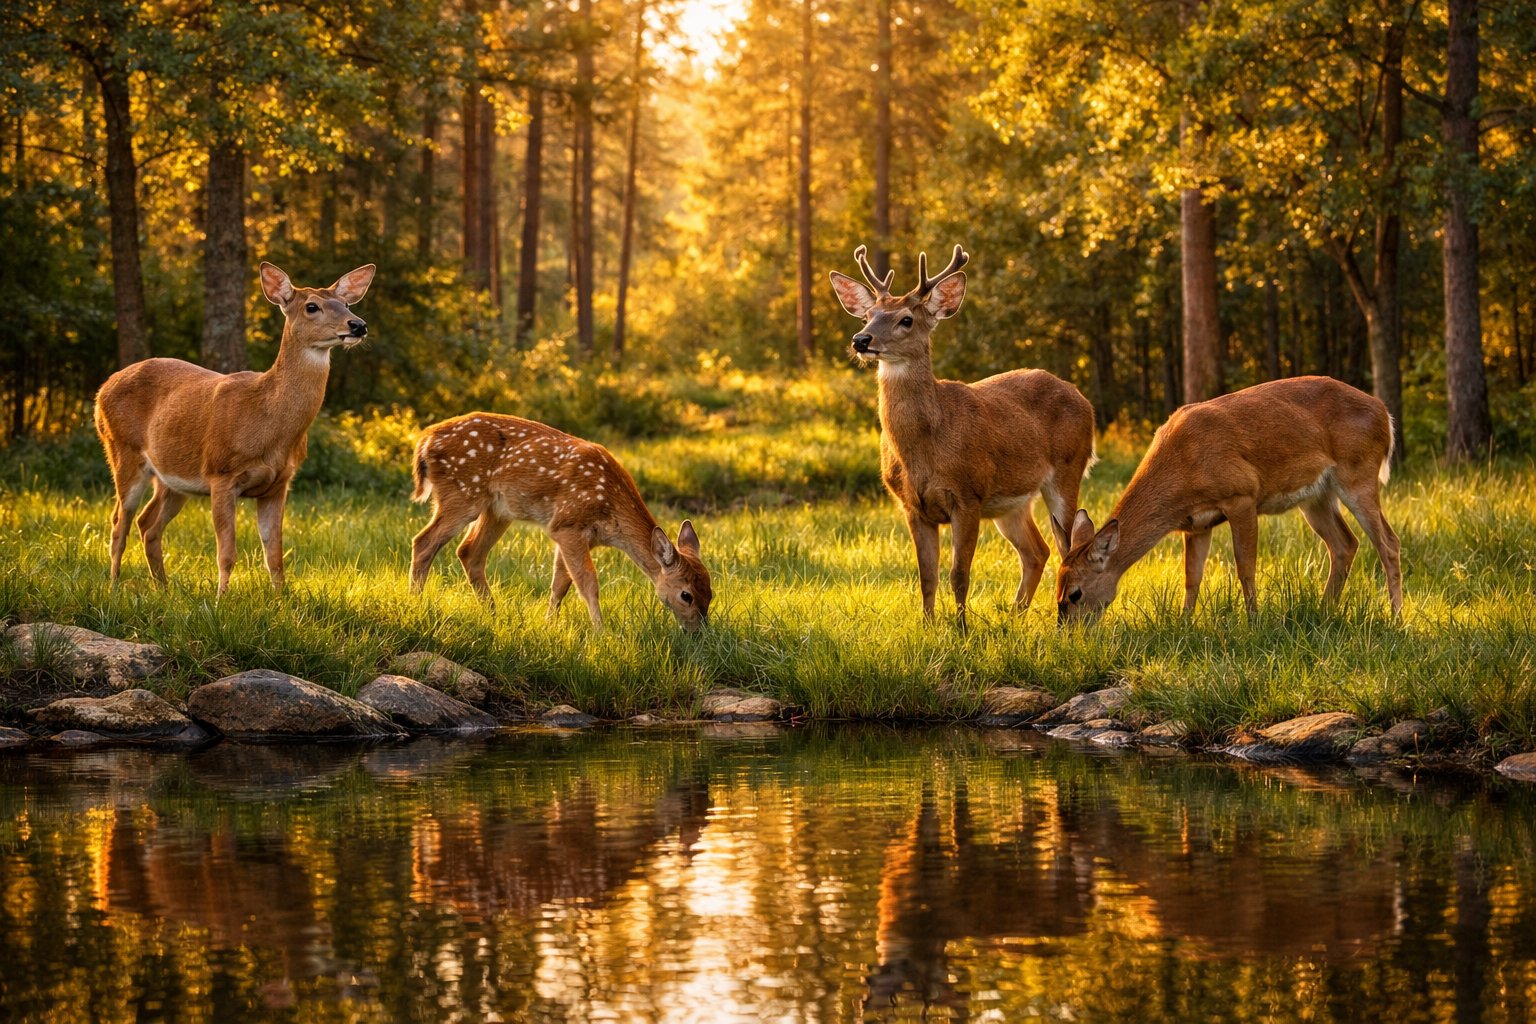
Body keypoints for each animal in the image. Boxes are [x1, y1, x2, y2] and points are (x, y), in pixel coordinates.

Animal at [94, 262, 376, 595]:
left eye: (346, 304)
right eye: (312, 306)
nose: (358, 325)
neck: (268, 421)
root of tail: (102, 389)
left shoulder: (279, 483)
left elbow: (275, 555)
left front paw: (280, 599)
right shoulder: (221, 474)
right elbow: (227, 552)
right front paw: (221, 598)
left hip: (173, 478)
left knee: (148, 523)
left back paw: (163, 588)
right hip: (121, 449)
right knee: (118, 522)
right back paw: (113, 586)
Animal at [409, 414, 712, 630]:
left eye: (710, 592)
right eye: (686, 595)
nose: (699, 633)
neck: (611, 510)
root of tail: (424, 441)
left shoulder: (577, 535)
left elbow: (560, 584)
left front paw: (549, 625)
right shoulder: (568, 524)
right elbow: (587, 583)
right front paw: (601, 634)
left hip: (497, 510)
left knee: (469, 552)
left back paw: (493, 614)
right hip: (462, 493)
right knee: (424, 541)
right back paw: (417, 604)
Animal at [829, 244, 1098, 625]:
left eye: (906, 319)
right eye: (868, 315)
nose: (861, 340)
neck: (924, 449)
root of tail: (1083, 399)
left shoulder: (968, 495)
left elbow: (959, 573)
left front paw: (960, 626)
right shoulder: (911, 505)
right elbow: (927, 575)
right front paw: (927, 624)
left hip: (1068, 469)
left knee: (1067, 546)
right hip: (1012, 503)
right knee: (1037, 551)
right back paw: (1015, 615)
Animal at [1053, 376, 1403, 623]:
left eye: (1075, 594)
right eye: (1056, 586)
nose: (1067, 633)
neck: (1182, 469)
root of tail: (1384, 412)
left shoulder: (1242, 495)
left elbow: (1245, 567)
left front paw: (1254, 622)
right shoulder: (1195, 524)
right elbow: (1191, 577)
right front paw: (1183, 625)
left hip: (1359, 473)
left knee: (1388, 541)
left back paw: (1395, 619)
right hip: (1316, 497)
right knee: (1344, 543)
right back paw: (1324, 610)